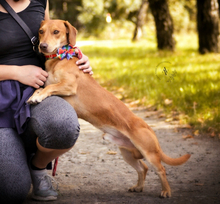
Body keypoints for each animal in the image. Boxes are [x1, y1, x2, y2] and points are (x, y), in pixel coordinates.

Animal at [27, 19, 189, 198]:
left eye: (56, 31)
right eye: (41, 31)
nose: (42, 46)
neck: (59, 59)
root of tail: (148, 127)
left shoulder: (68, 86)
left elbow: (49, 88)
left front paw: (38, 96)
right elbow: (39, 89)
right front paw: (34, 96)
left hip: (149, 153)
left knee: (161, 169)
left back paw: (166, 191)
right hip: (127, 153)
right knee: (143, 168)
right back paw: (138, 187)